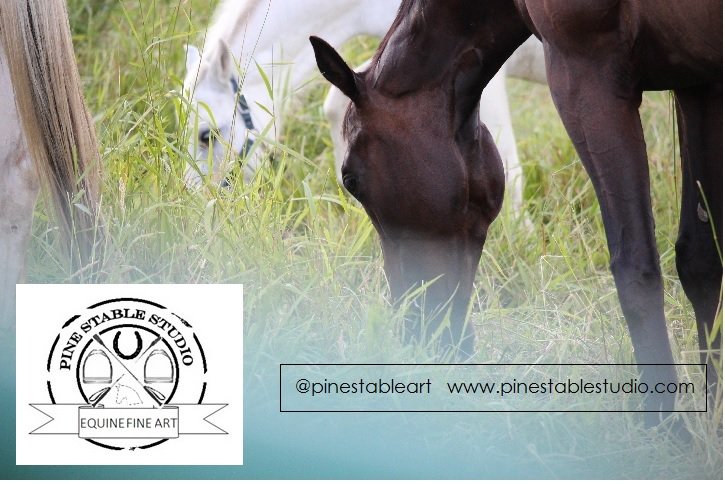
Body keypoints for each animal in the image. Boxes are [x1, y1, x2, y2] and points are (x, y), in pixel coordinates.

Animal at [310, 0, 722, 420]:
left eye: (350, 180)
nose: (413, 335)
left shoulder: (586, 75)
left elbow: (635, 269)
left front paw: (664, 422)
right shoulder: (699, 81)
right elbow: (701, 259)